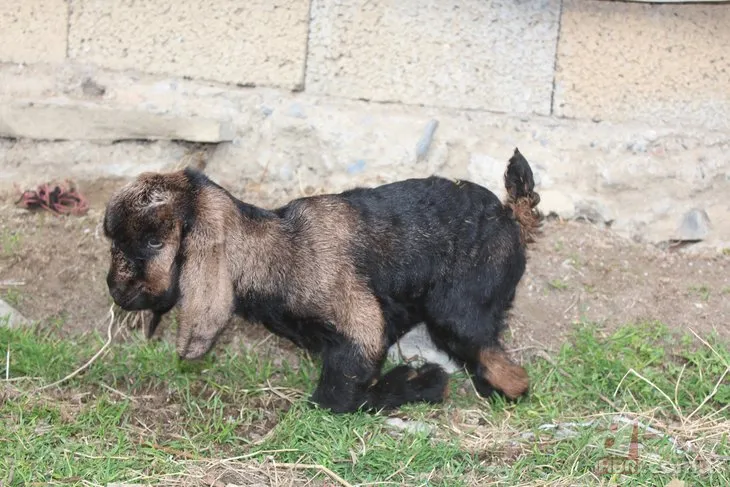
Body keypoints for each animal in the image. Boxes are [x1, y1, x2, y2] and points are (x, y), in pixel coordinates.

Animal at [105, 148, 544, 412]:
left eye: (151, 243)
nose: (113, 288)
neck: (276, 249)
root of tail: (511, 216)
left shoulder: (362, 327)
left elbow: (336, 398)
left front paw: (416, 383)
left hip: (458, 313)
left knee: (511, 373)